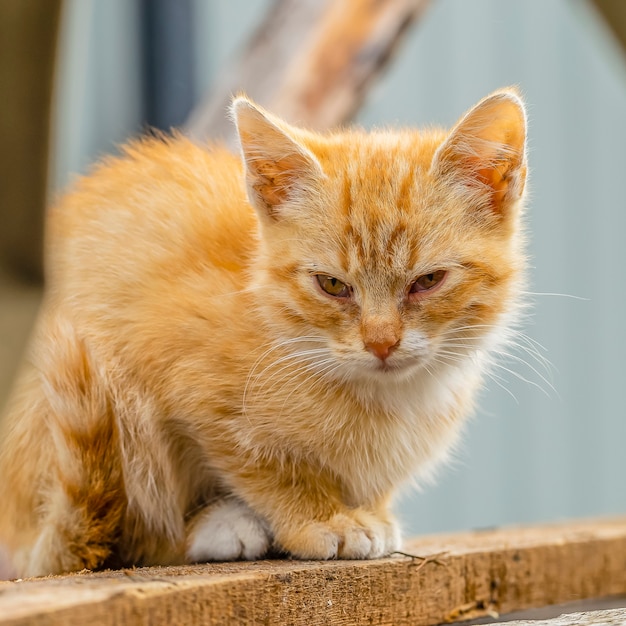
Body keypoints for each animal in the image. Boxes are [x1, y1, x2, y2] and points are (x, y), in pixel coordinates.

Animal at [0, 88, 528, 576]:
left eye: (428, 281)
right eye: (332, 285)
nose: (381, 343)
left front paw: (368, 509)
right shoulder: (174, 367)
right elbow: (260, 463)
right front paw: (322, 517)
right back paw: (219, 528)